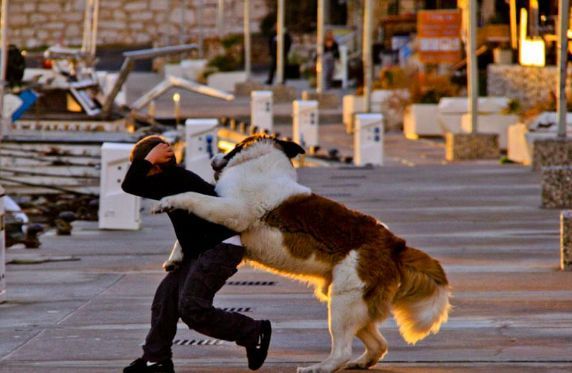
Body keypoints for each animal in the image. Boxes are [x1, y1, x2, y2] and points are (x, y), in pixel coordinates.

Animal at [153, 135, 452, 372]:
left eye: (234, 147)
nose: (214, 158)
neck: (263, 162)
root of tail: (394, 243)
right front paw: (175, 258)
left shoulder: (234, 211)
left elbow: (193, 197)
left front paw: (167, 201)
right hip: (354, 301)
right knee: (378, 343)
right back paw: (360, 363)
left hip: (344, 300)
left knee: (342, 349)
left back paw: (320, 368)